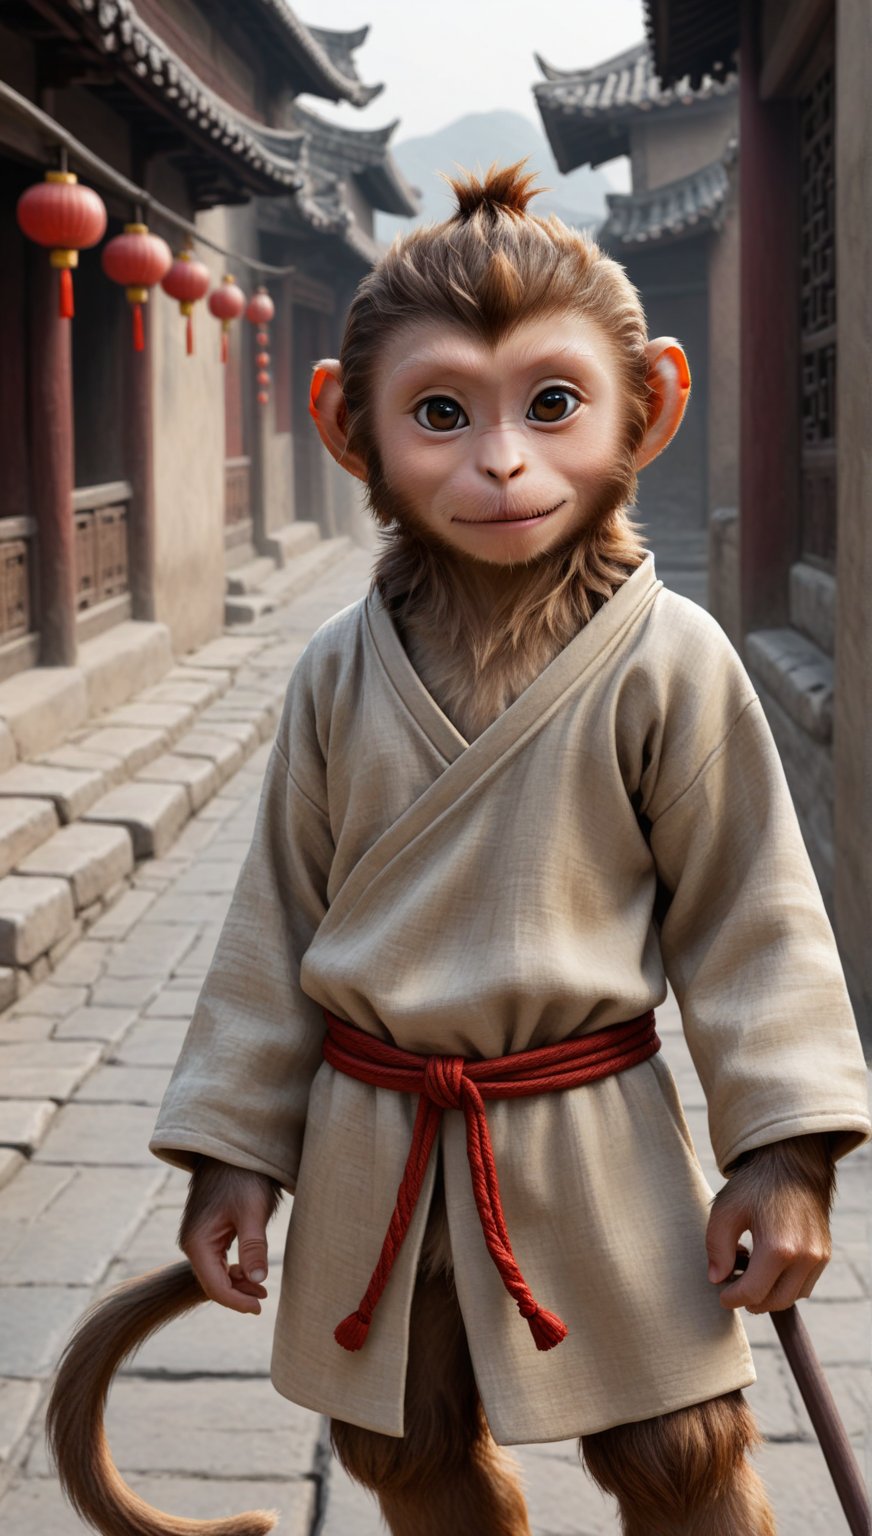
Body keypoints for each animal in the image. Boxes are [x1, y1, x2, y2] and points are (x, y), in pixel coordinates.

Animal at [49, 158, 872, 1536]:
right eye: (439, 411)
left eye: (552, 403)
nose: (497, 467)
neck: (501, 598)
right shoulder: (309, 723)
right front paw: (222, 1214)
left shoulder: (703, 690)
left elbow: (745, 922)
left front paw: (778, 1206)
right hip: (395, 1287)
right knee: (412, 1443)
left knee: (671, 1451)